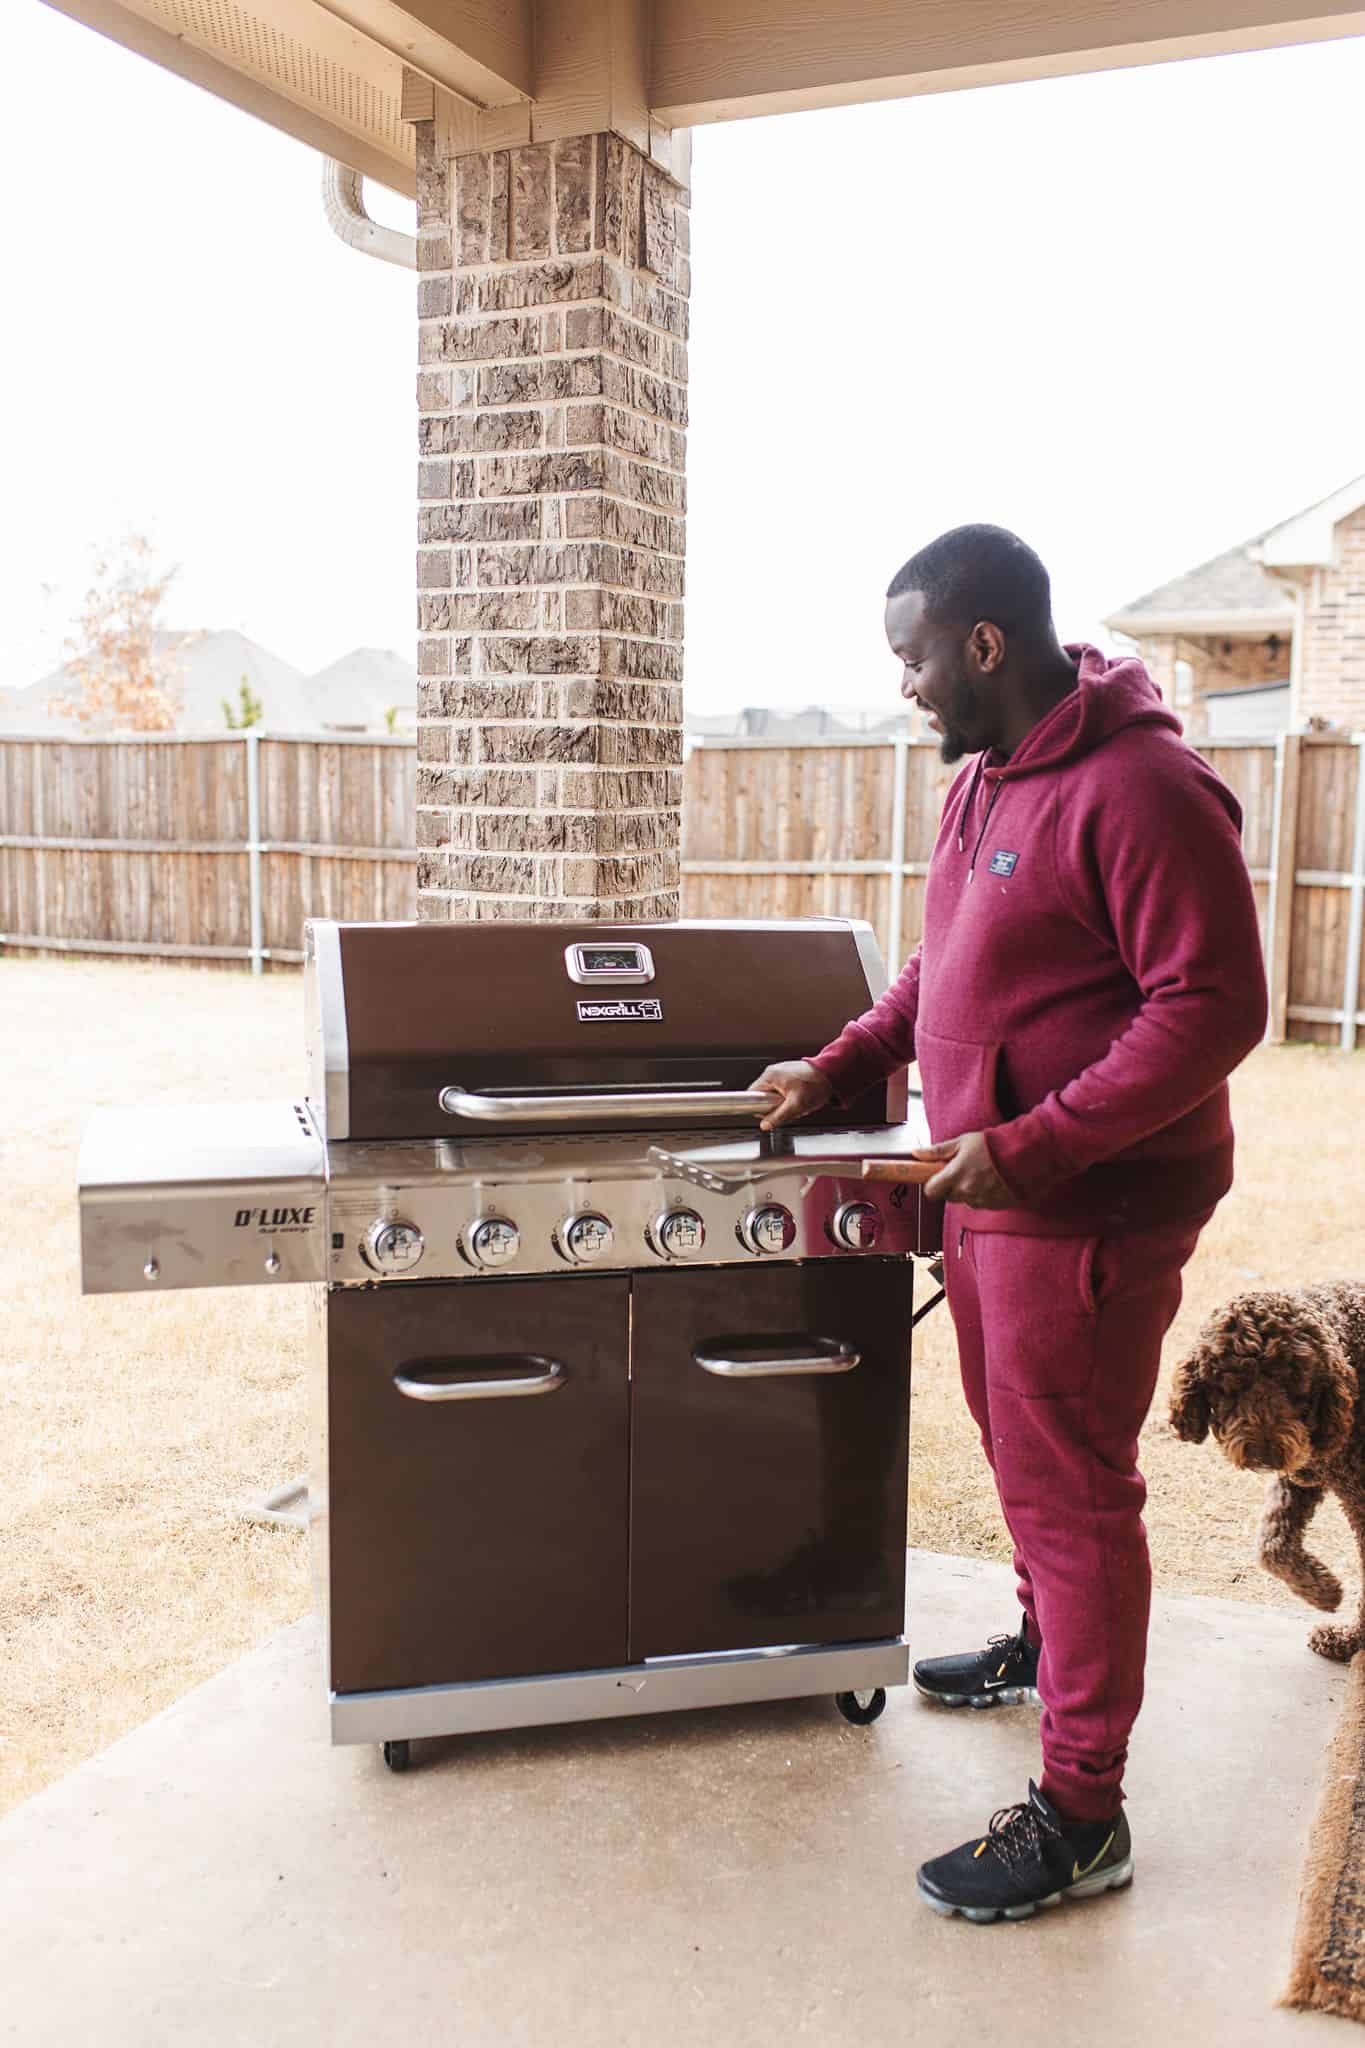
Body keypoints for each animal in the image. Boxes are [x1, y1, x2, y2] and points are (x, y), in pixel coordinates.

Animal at [1170, 1294, 1365, 1662]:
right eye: (1231, 1386)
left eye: (1294, 1385)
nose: (1265, 1455)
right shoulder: (1303, 1473)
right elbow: (1272, 1545)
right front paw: (1321, 1590)